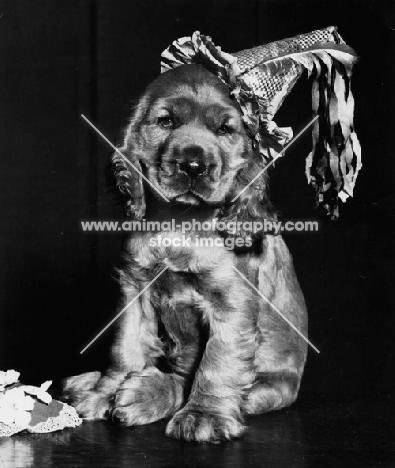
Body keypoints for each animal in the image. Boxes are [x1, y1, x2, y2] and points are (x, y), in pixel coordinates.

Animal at [63, 63, 308, 442]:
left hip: (274, 386)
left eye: (225, 129)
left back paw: (147, 393)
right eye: (166, 121)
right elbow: (125, 345)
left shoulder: (231, 301)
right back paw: (90, 384)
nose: (193, 165)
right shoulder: (135, 286)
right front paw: (105, 393)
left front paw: (205, 416)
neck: (180, 222)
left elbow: (217, 361)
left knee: (197, 382)